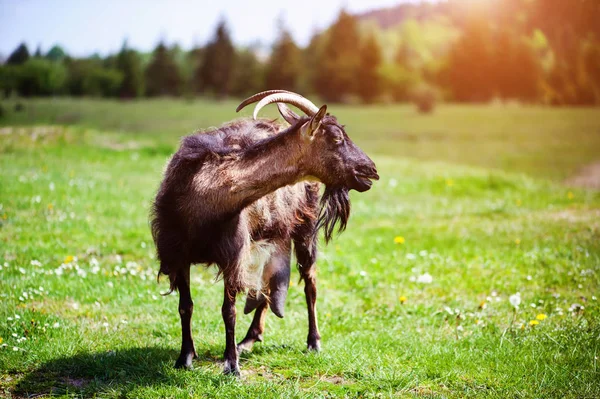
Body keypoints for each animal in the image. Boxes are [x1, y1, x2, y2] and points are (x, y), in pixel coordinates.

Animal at [152, 90, 378, 376]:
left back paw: (313, 342)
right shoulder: (176, 253)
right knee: (270, 284)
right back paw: (250, 338)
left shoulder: (233, 255)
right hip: (272, 235)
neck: (203, 196)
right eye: (337, 138)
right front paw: (185, 358)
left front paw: (231, 366)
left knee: (310, 283)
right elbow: (185, 307)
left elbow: (228, 310)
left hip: (304, 228)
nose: (371, 170)